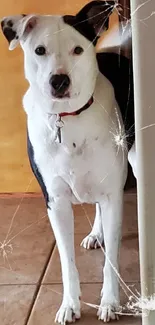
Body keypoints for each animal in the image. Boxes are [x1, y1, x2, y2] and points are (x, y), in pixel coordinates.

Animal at [1, 0, 137, 322]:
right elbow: (66, 262)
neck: (68, 118)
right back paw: (96, 233)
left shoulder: (112, 193)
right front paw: (70, 305)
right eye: (39, 50)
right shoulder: (56, 202)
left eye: (77, 49)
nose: (59, 80)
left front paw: (109, 302)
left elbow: (112, 260)